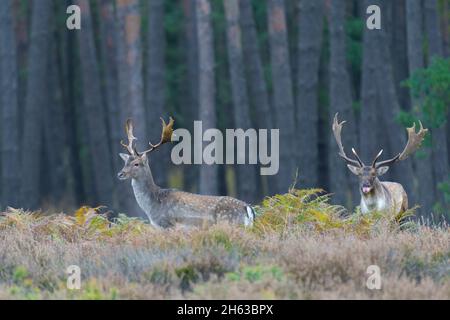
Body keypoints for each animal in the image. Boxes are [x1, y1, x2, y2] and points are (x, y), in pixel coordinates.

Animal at [117, 117, 256, 228]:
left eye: (136, 164)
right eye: (125, 162)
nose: (120, 174)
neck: (153, 207)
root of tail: (248, 208)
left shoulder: (168, 224)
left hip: (230, 223)